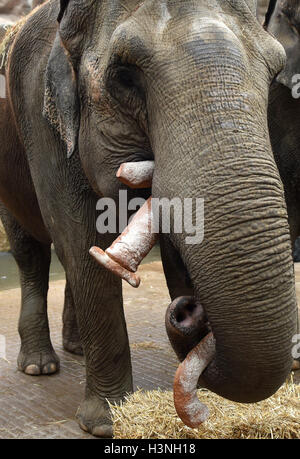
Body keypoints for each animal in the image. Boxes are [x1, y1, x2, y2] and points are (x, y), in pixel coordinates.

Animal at [0, 0, 296, 438]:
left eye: (275, 71)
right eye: (124, 76)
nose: (188, 310)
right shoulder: (41, 120)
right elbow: (79, 239)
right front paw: (106, 423)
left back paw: (76, 348)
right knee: (31, 251)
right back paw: (40, 365)